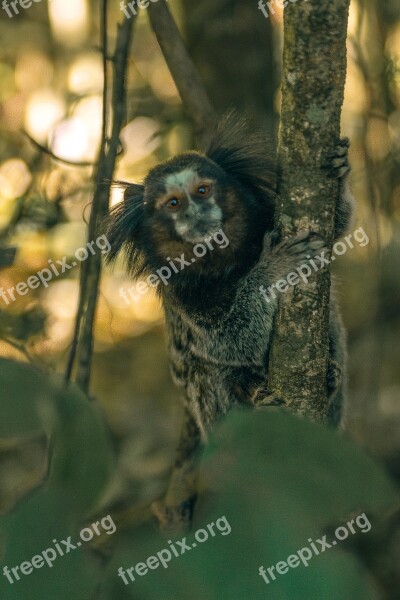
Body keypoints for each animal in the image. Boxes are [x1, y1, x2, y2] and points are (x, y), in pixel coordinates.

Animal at [105, 112, 354, 528]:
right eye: (173, 203)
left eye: (203, 191)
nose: (194, 213)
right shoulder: (183, 293)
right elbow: (229, 340)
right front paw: (271, 268)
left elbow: (337, 227)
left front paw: (339, 168)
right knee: (204, 372)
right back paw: (254, 399)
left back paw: (330, 378)